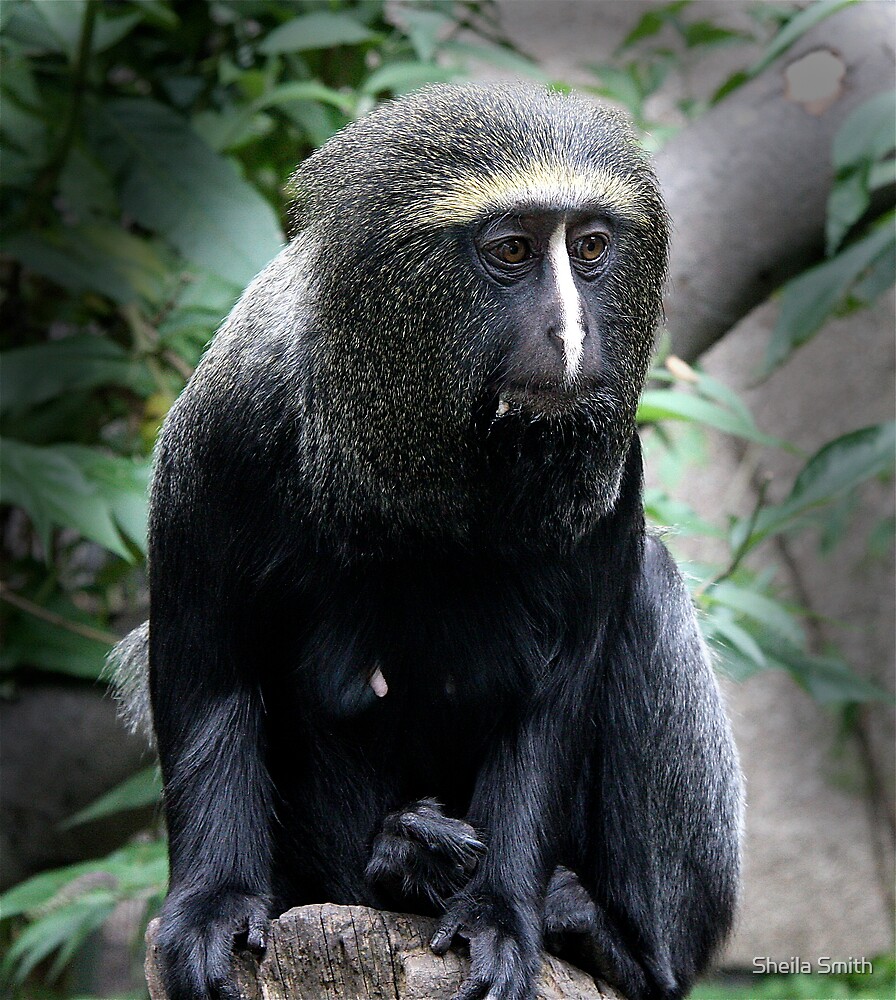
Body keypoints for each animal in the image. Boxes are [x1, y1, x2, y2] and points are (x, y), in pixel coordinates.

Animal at [111, 83, 742, 1000]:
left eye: (590, 247)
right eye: (511, 251)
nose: (573, 338)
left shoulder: (613, 473)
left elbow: (555, 698)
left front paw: (500, 911)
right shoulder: (217, 435)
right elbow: (209, 676)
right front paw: (212, 906)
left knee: (652, 580)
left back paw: (615, 938)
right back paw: (401, 859)